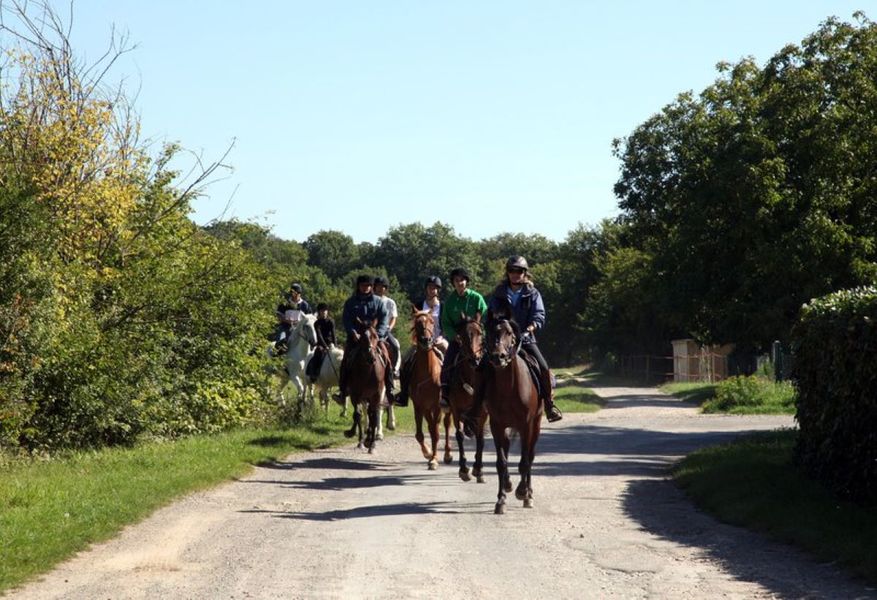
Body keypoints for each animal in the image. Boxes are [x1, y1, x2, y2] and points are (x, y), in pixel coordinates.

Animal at [344, 322, 392, 452]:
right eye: (362, 337)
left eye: (375, 336)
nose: (371, 357)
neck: (367, 371)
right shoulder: (355, 395)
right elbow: (358, 415)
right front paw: (361, 441)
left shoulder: (376, 395)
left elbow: (374, 416)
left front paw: (372, 444)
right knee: (366, 413)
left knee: (372, 413)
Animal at [404, 310, 444, 468]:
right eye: (417, 323)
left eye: (432, 322)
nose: (426, 340)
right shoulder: (420, 405)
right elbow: (421, 434)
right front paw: (428, 453)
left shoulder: (437, 406)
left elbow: (435, 432)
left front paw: (434, 459)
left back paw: (448, 455)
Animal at [448, 318, 490, 482]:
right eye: (463, 335)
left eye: (480, 333)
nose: (474, 359)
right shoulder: (455, 409)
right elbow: (459, 436)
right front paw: (463, 469)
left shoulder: (483, 413)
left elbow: (480, 438)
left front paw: (479, 469)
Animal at [482, 314, 536, 516]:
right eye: (490, 331)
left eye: (509, 333)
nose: (499, 356)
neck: (509, 388)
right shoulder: (497, 426)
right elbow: (501, 462)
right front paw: (501, 499)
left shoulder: (526, 425)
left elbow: (525, 461)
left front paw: (523, 492)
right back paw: (508, 485)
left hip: (535, 425)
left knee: (530, 456)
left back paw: (529, 493)